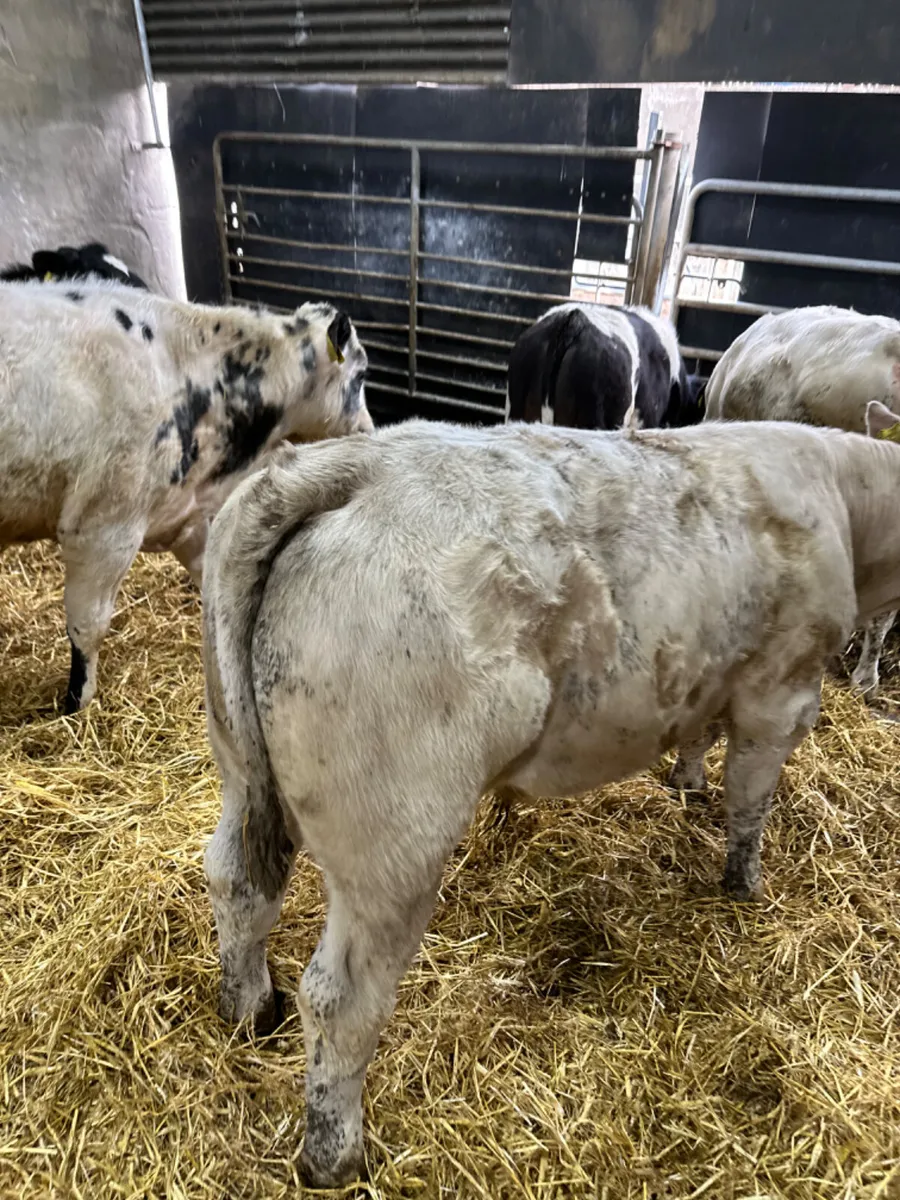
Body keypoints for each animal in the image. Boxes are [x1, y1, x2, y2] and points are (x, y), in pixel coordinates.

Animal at [0, 280, 372, 713]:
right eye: (360, 374)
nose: (368, 429)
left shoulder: (184, 517)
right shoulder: (102, 527)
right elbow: (87, 626)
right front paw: (75, 704)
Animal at [201, 404, 900, 1187]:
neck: (845, 494)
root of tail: (353, 464)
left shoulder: (711, 680)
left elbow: (697, 740)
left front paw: (686, 785)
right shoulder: (779, 694)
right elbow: (750, 801)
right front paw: (744, 885)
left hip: (242, 768)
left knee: (238, 882)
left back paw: (249, 1010)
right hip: (393, 842)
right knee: (340, 999)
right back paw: (334, 1154)